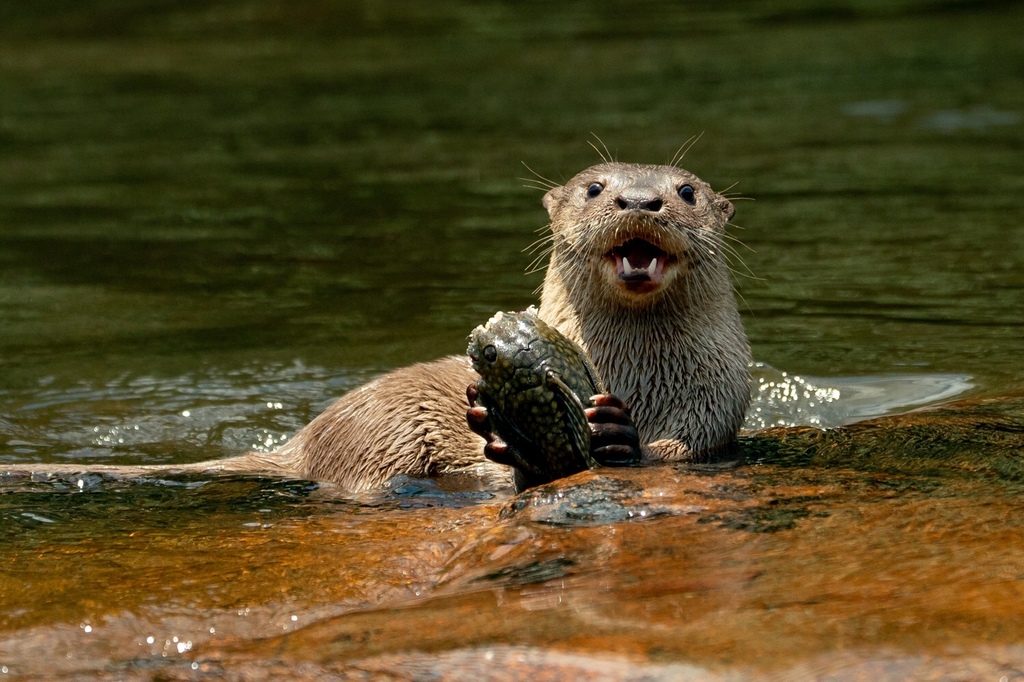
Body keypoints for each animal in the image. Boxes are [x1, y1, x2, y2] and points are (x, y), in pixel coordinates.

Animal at [2, 160, 753, 489]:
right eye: (596, 188)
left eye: (686, 191)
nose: (641, 200)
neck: (636, 376)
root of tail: (308, 438)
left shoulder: (716, 401)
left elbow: (682, 450)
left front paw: (620, 436)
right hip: (387, 437)